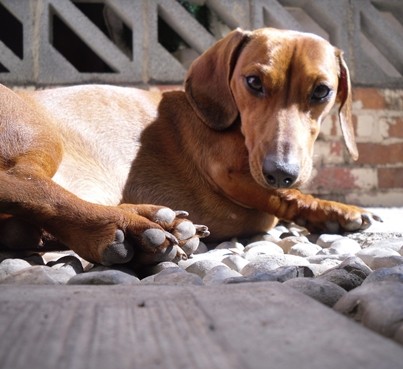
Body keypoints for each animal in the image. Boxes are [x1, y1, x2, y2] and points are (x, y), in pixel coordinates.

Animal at [0, 27, 380, 266]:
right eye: (253, 82)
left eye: (322, 91)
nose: (281, 172)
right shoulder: (229, 171)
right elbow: (286, 197)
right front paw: (334, 208)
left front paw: (334, 214)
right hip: (42, 139)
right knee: (30, 187)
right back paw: (136, 228)